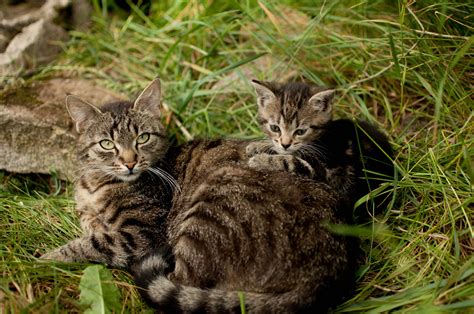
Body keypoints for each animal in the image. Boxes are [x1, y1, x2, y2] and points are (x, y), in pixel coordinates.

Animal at [41, 79, 175, 268]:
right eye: (107, 144)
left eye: (143, 138)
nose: (130, 163)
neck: (95, 183)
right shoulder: (83, 205)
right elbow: (85, 217)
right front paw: (96, 223)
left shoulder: (145, 232)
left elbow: (92, 244)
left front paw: (47, 259)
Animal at [246, 79, 394, 217]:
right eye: (275, 128)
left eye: (300, 132)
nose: (285, 144)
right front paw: (257, 146)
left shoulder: (328, 171)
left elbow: (289, 160)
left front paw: (261, 160)